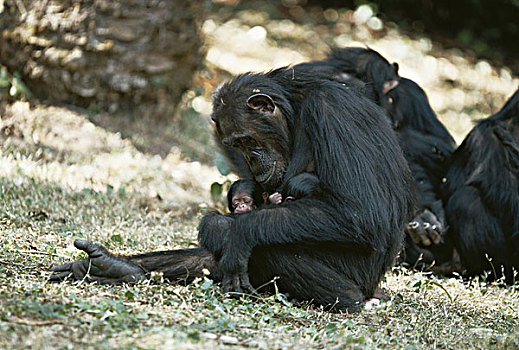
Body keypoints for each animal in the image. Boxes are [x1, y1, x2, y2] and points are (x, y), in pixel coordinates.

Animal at [48, 63, 414, 312]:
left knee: (269, 247)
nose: (250, 159)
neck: (296, 112)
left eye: (247, 139)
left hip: (356, 279)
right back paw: (115, 268)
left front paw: (237, 231)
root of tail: (375, 287)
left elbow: (359, 211)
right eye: (234, 144)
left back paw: (345, 298)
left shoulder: (333, 111)